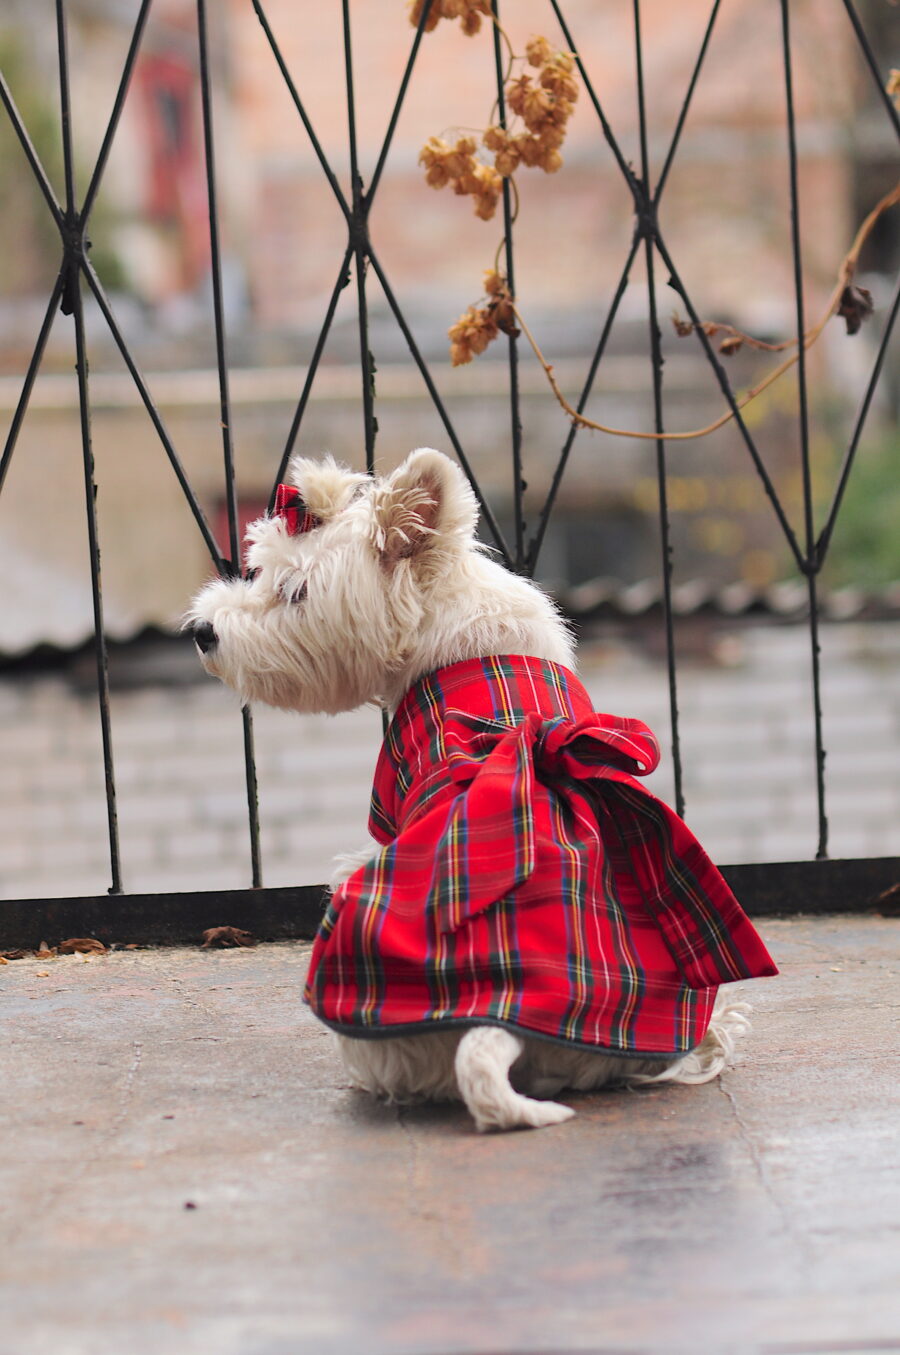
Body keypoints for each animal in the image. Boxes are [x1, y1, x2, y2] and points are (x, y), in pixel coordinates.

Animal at [188, 449, 775, 1127]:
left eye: (296, 591)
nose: (202, 630)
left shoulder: (387, 802)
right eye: (260, 570)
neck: (456, 637)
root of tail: (502, 1019)